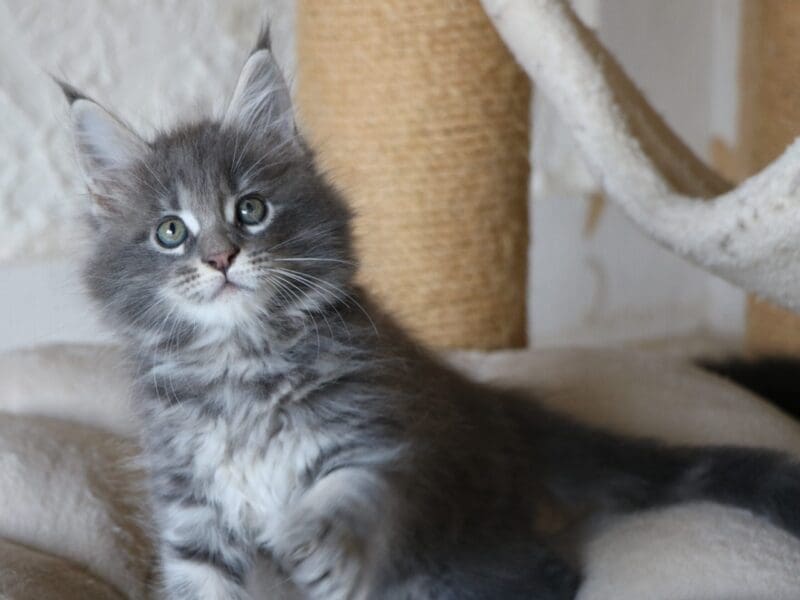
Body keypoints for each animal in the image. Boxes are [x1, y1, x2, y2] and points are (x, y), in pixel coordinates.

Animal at [65, 30, 800, 600]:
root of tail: (503, 411)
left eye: (251, 209)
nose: (220, 257)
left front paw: (316, 541)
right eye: (170, 231)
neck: (239, 362)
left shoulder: (370, 427)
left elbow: (350, 491)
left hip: (449, 556)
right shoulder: (192, 513)